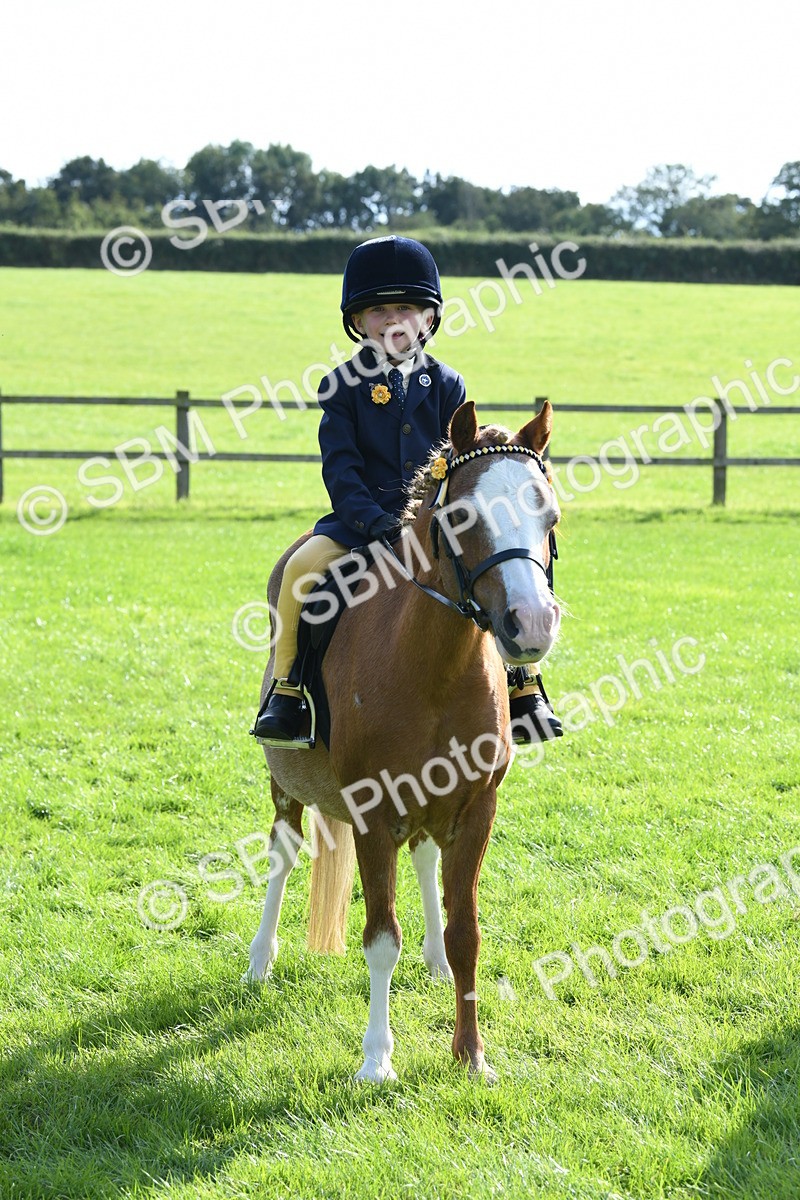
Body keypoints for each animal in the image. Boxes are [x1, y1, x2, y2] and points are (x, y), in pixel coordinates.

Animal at [244, 399, 561, 1082]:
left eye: (549, 514)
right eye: (463, 516)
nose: (531, 625)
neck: (434, 665)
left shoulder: (476, 809)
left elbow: (468, 931)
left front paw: (471, 1053)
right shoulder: (372, 813)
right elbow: (381, 939)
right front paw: (376, 1059)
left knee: (423, 857)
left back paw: (436, 958)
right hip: (286, 783)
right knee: (283, 853)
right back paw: (260, 959)